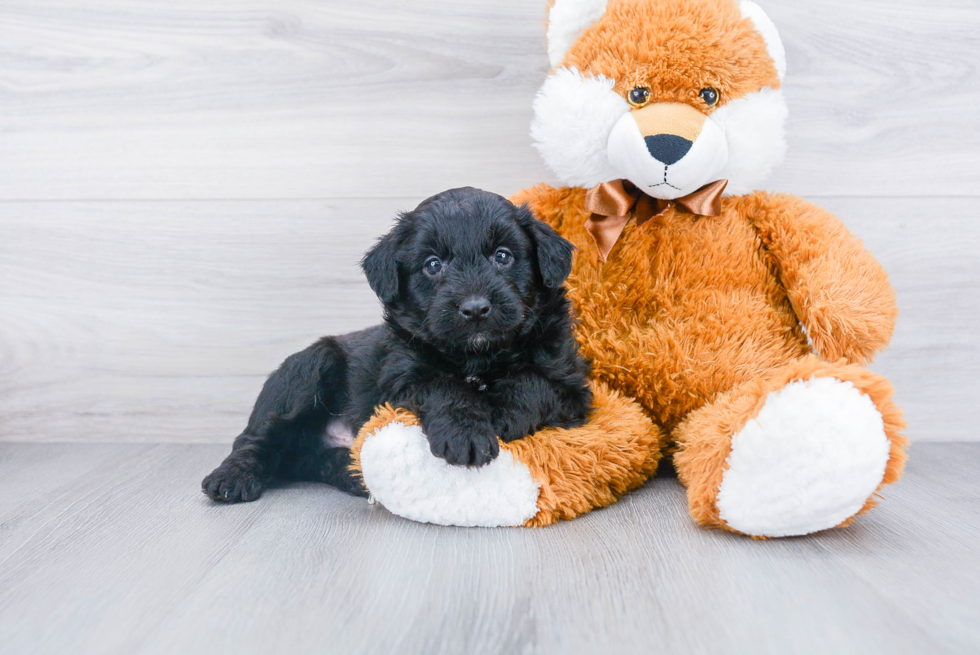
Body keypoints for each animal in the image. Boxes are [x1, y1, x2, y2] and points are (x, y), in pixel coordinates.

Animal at [201, 187, 588, 504]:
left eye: (503, 256)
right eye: (433, 264)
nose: (475, 308)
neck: (476, 356)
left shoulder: (573, 386)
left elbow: (534, 383)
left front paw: (503, 415)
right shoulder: (404, 375)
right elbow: (444, 388)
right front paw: (466, 434)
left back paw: (351, 473)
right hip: (308, 368)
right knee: (255, 439)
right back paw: (231, 478)